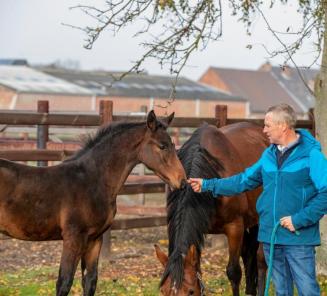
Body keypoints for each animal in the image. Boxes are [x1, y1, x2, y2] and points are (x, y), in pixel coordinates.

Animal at [0, 111, 187, 296]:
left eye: (172, 144)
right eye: (162, 146)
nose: (182, 182)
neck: (92, 180)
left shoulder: (95, 239)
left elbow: (90, 281)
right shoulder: (73, 238)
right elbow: (64, 282)